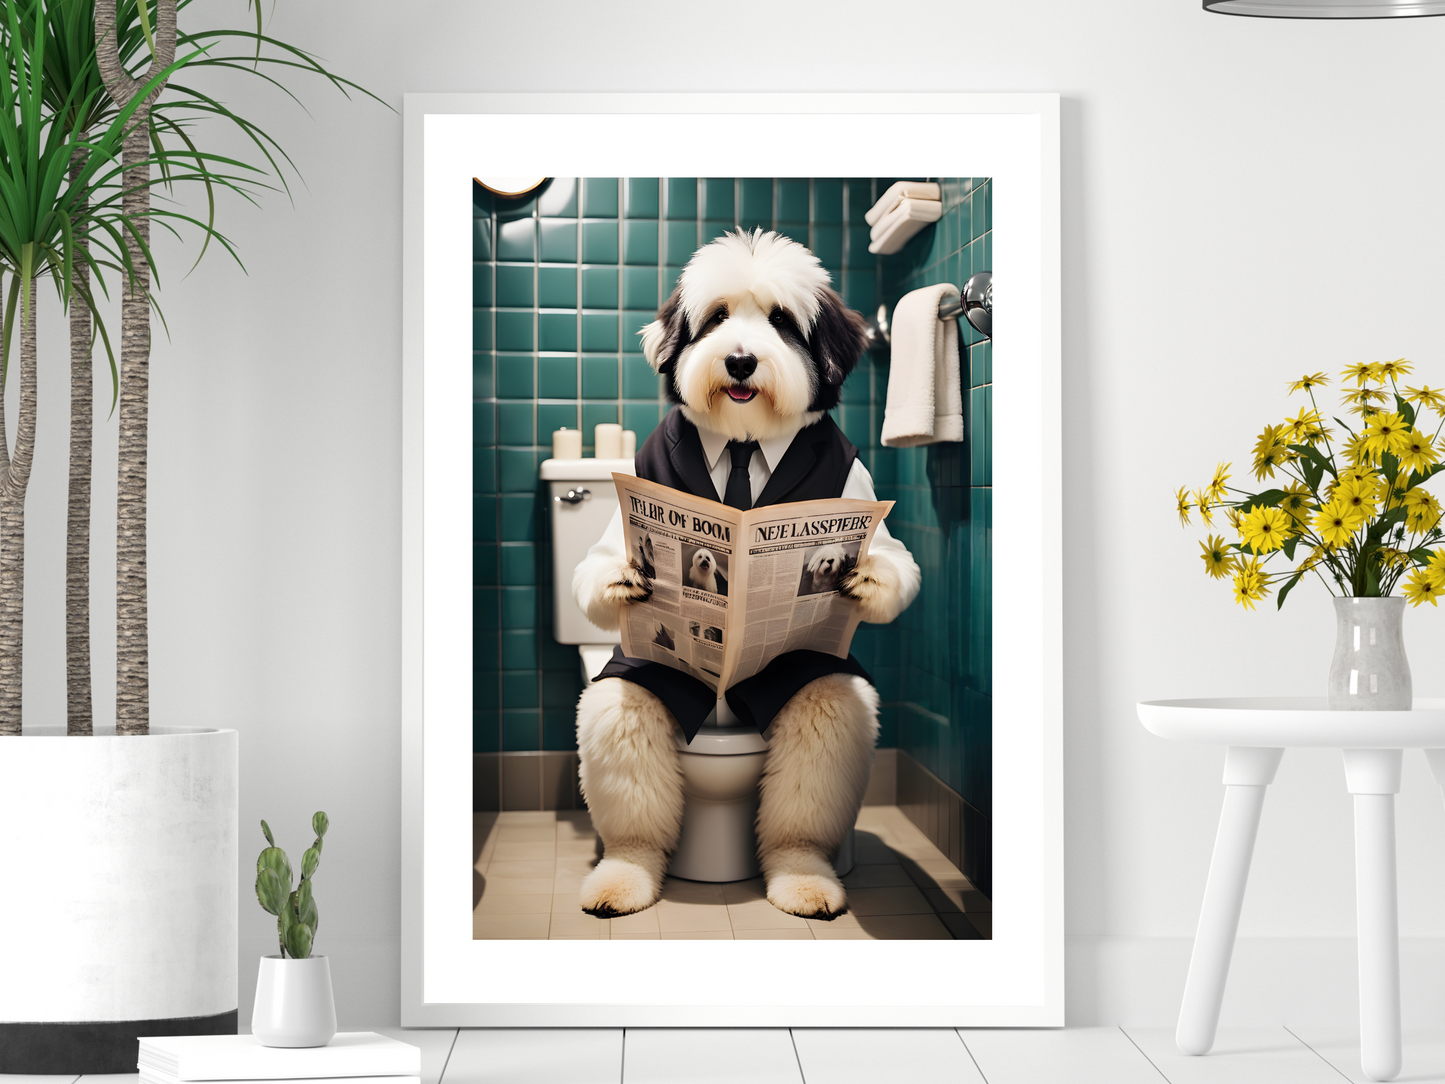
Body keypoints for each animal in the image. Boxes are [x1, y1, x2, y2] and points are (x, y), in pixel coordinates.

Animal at [569, 229, 919, 925]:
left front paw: (868, 576)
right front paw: (624, 574)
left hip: (806, 689)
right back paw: (623, 876)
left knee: (821, 732)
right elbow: (597, 562)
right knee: (624, 724)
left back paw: (804, 877)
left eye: (782, 321)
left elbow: (896, 557)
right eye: (717, 317)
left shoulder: (857, 487)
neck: (741, 440)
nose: (738, 362)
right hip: (643, 687)